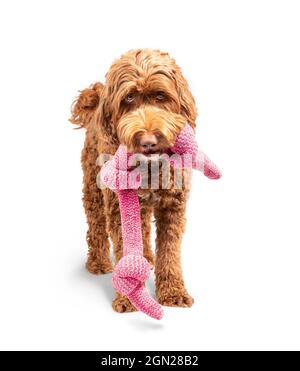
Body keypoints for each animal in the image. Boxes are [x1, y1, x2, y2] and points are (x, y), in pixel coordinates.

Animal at [70, 48, 197, 312]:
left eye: (160, 96)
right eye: (128, 99)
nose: (148, 141)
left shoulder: (173, 205)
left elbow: (170, 252)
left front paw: (173, 293)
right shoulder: (118, 206)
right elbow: (123, 246)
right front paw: (129, 297)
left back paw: (147, 257)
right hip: (93, 187)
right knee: (96, 224)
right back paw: (98, 262)